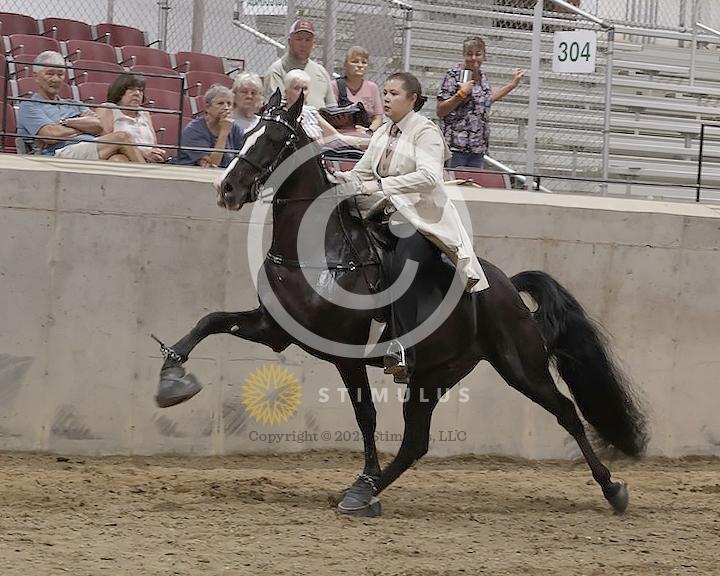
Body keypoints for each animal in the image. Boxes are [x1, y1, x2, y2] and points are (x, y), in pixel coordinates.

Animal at [154, 90, 648, 517]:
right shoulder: (273, 329)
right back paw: (364, 491)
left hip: (521, 366)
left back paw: (613, 489)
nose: (227, 189)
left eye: (275, 138)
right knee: (416, 442)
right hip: (436, 374)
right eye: (248, 130)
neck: (320, 253)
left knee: (566, 412)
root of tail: (505, 287)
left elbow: (366, 417)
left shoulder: (344, 354)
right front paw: (173, 381)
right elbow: (209, 321)